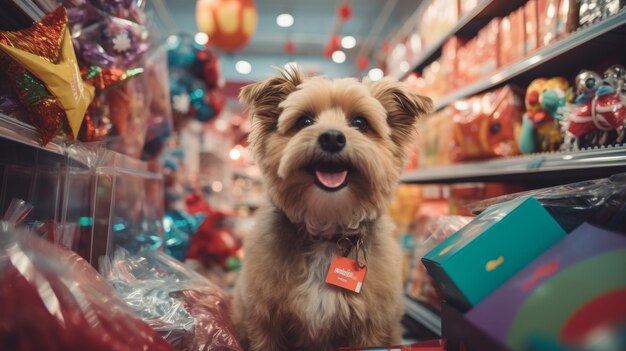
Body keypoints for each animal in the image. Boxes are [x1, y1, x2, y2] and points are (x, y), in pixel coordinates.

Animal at [232, 67, 432, 350]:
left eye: (360, 123)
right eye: (304, 121)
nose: (332, 138)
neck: (326, 231)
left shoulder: (371, 329)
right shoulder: (264, 322)